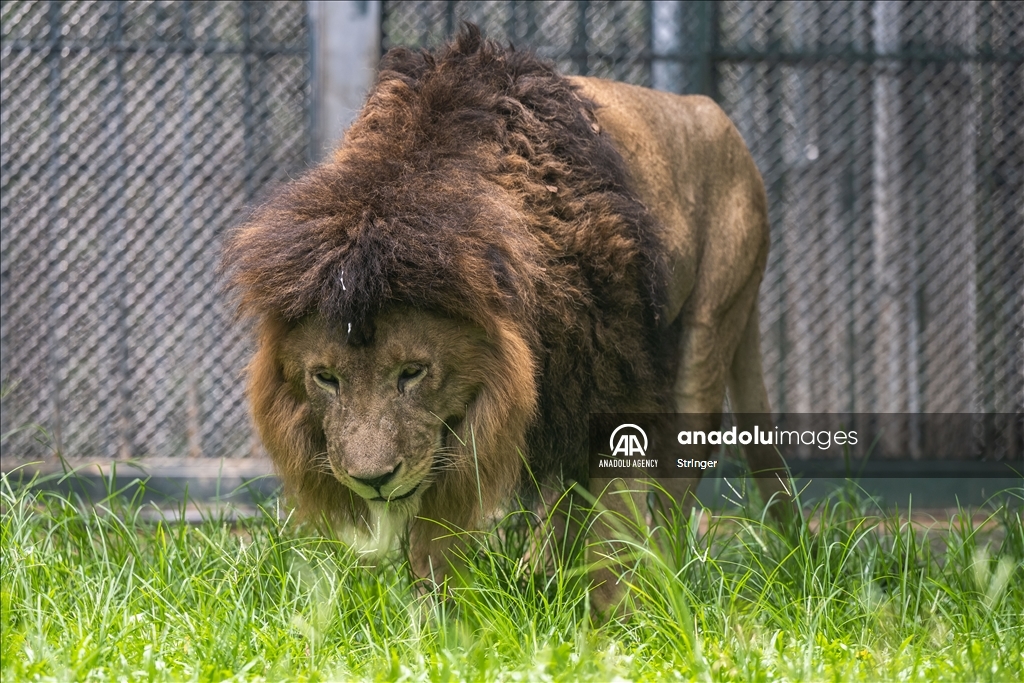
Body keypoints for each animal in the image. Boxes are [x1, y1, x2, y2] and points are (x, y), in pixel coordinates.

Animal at [226, 26, 790, 610]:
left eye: (413, 372)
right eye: (325, 378)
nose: (373, 479)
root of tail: (707, 108)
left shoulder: (618, 384)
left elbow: (615, 524)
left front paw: (616, 620)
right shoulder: (452, 438)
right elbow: (437, 544)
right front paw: (442, 620)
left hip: (710, 329)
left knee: (673, 488)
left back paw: (662, 582)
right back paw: (542, 575)